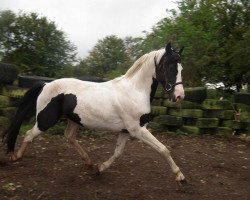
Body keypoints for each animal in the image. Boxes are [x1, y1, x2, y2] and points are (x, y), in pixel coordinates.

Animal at [1, 43, 186, 185]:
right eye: (170, 67)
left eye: (181, 68)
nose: (179, 96)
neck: (135, 91)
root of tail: (46, 84)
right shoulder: (137, 130)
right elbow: (163, 149)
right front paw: (180, 177)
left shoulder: (126, 131)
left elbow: (118, 152)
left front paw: (100, 168)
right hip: (45, 120)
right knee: (29, 134)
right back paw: (16, 156)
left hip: (73, 120)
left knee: (69, 137)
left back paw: (89, 162)